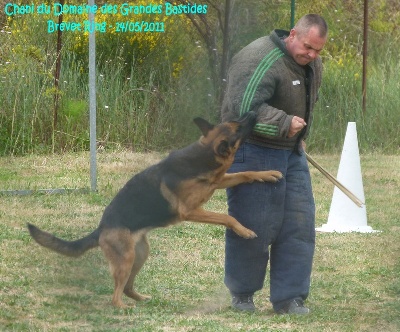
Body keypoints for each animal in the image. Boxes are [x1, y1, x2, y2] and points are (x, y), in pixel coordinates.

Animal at [28, 112, 282, 308]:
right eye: (238, 127)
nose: (253, 112)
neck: (203, 156)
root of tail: (100, 229)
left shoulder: (218, 182)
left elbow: (246, 173)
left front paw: (268, 174)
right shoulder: (190, 211)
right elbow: (226, 216)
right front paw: (244, 231)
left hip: (140, 255)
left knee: (127, 287)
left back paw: (141, 299)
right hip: (126, 259)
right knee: (115, 294)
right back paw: (123, 308)